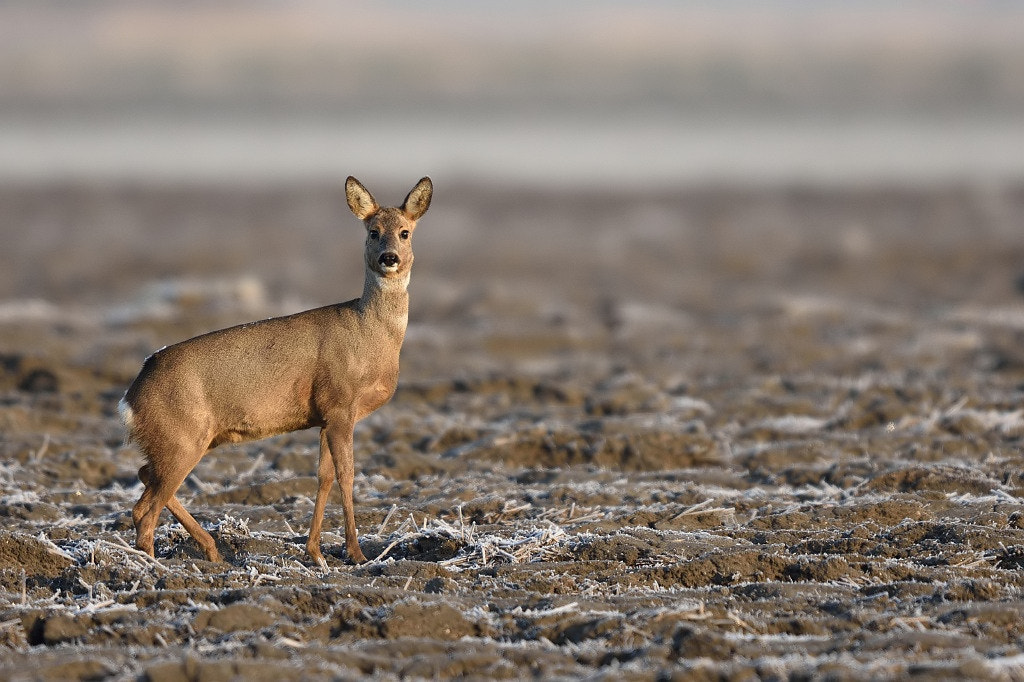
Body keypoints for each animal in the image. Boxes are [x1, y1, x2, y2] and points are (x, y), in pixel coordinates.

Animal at [118, 174, 432, 561]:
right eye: (373, 231)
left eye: (405, 232)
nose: (390, 258)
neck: (371, 335)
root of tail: (130, 398)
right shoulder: (340, 405)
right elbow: (347, 475)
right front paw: (356, 554)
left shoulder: (324, 416)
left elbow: (324, 476)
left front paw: (314, 552)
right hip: (180, 438)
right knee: (146, 509)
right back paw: (162, 564)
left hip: (181, 441)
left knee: (144, 481)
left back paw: (211, 550)